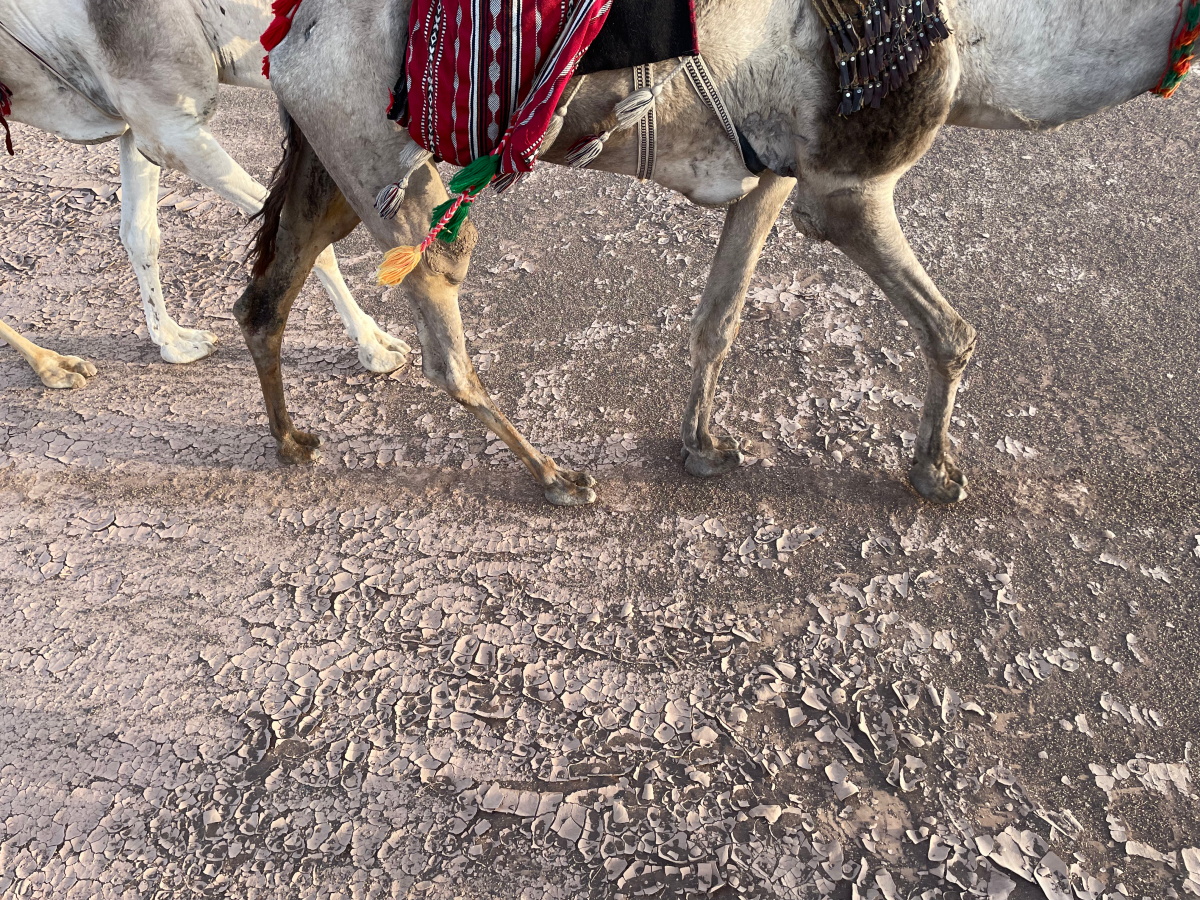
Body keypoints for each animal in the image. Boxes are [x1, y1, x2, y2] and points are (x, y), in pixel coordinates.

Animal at [0, 0, 410, 389]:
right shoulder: (172, 133)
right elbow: (309, 246)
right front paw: (376, 347)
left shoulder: (141, 129)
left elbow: (140, 235)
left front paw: (174, 342)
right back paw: (52, 365)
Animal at [237, 0, 1195, 505]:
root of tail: (292, 30)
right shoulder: (845, 187)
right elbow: (952, 332)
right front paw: (934, 470)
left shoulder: (771, 173)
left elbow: (718, 318)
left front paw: (701, 445)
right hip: (378, 155)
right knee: (444, 333)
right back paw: (556, 474)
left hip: (332, 156)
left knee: (265, 294)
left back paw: (291, 440)